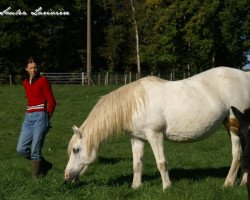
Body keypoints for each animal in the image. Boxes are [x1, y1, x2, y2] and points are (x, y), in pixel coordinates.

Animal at [64, 67, 250, 189]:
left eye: (75, 150)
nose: (66, 176)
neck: (135, 104)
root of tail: (245, 75)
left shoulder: (155, 135)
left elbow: (161, 163)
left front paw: (167, 187)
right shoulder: (137, 139)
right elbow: (137, 164)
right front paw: (136, 187)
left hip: (235, 126)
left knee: (237, 154)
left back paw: (228, 183)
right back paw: (243, 182)